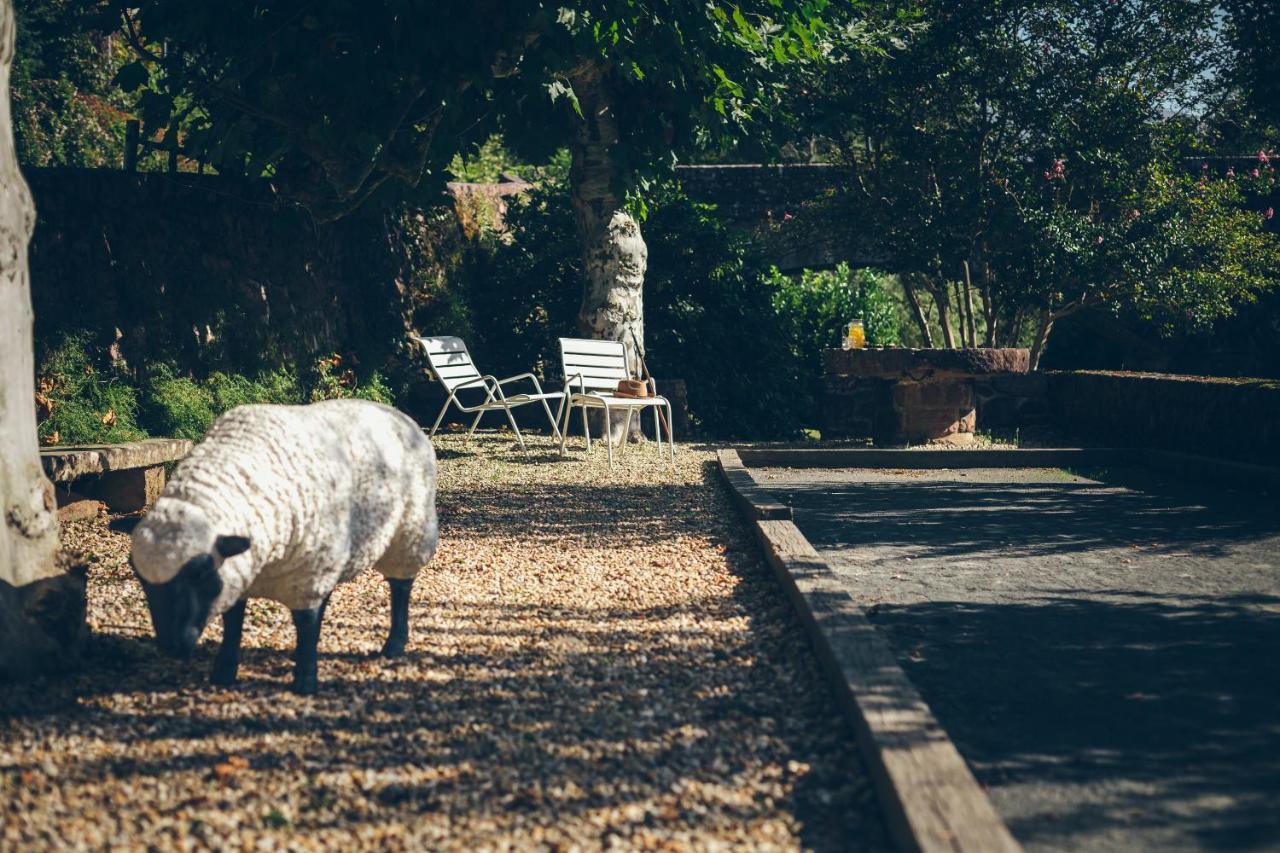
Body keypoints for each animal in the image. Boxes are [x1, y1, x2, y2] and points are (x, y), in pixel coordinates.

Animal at [120, 399, 440, 691]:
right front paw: (223, 673)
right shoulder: (241, 572)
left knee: (401, 586)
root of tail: (396, 412)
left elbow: (307, 625)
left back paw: (395, 643)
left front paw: (305, 681)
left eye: (200, 573)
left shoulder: (309, 573)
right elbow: (233, 623)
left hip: (410, 530)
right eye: (139, 577)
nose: (171, 647)